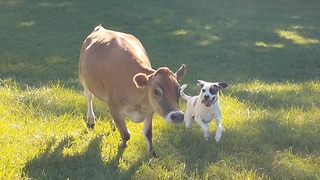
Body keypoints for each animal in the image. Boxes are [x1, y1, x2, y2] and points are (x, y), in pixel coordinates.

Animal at [78, 24, 186, 157]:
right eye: (156, 91)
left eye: (179, 90)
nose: (178, 116)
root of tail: (100, 28)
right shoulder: (115, 108)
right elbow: (126, 134)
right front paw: (122, 144)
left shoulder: (150, 109)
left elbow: (148, 133)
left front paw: (151, 154)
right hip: (83, 77)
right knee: (89, 97)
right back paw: (91, 120)